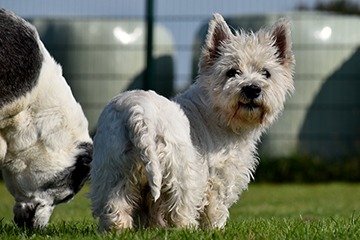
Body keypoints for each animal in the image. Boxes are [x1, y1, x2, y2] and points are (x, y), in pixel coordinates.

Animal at [89, 13, 292, 231]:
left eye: (266, 73)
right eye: (231, 72)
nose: (252, 89)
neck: (217, 114)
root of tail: (137, 110)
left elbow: (151, 210)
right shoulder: (219, 178)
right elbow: (215, 208)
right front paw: (216, 230)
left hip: (113, 167)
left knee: (115, 203)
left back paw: (118, 229)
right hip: (180, 171)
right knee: (179, 206)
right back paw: (186, 228)